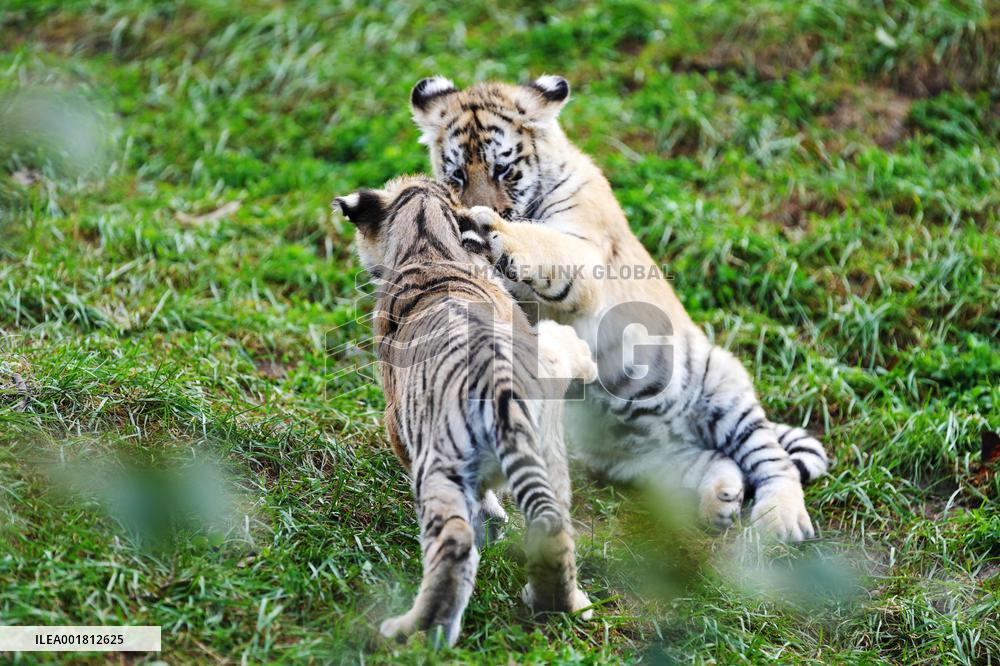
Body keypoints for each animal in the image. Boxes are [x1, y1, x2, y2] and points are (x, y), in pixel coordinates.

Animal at [334, 175, 597, 646]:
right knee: (551, 528)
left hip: (438, 469)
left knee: (453, 543)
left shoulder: (398, 423)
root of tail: (502, 395)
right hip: (550, 461)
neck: (429, 246)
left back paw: (414, 632)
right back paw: (567, 606)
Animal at [409, 75, 830, 541]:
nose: (469, 209)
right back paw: (720, 499)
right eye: (457, 175)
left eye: (504, 170)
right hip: (647, 460)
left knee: (771, 459)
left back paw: (780, 520)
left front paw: (488, 228)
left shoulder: (583, 256)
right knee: (712, 459)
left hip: (722, 385)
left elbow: (541, 242)